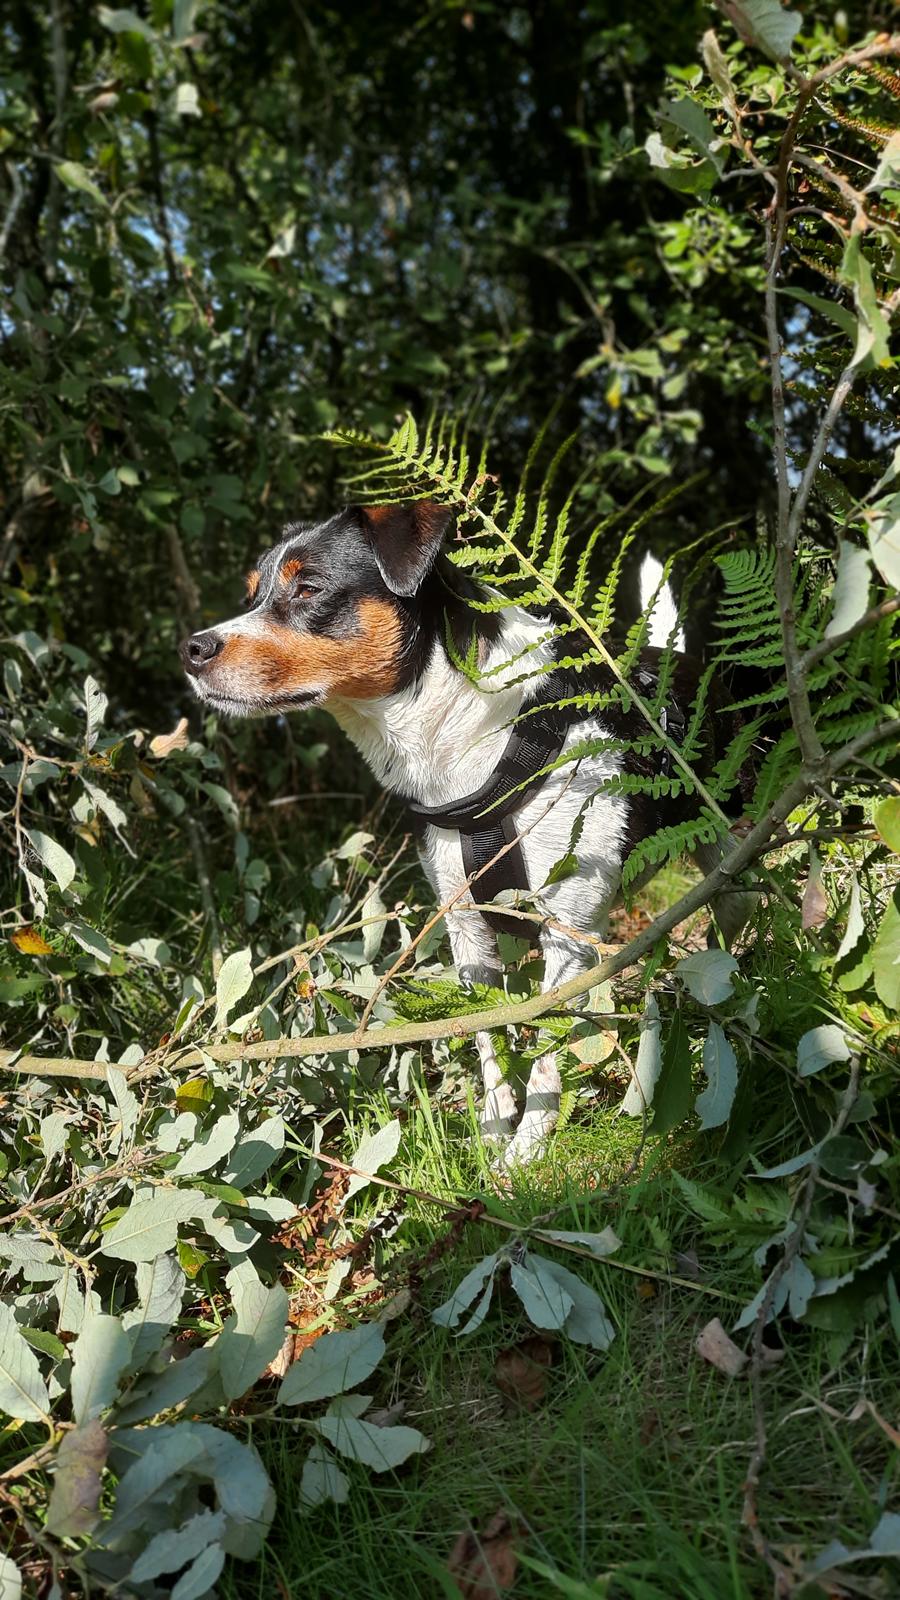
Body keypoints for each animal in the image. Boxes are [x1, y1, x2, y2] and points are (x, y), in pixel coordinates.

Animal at [178, 505, 746, 1171]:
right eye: (253, 593)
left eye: (309, 588)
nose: (191, 649)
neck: (472, 739)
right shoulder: (465, 928)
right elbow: (485, 1032)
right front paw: (497, 1131)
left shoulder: (567, 931)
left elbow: (545, 1044)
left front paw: (528, 1149)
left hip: (729, 859)